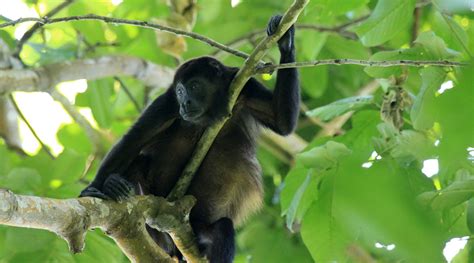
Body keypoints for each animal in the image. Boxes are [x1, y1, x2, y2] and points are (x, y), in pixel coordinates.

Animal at [79, 14, 298, 263]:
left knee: (223, 227)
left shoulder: (244, 86)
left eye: (195, 86)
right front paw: (93, 189)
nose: (186, 103)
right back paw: (115, 186)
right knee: (138, 163)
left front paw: (286, 41)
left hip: (203, 226)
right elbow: (132, 141)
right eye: (181, 91)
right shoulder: (166, 104)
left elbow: (282, 122)